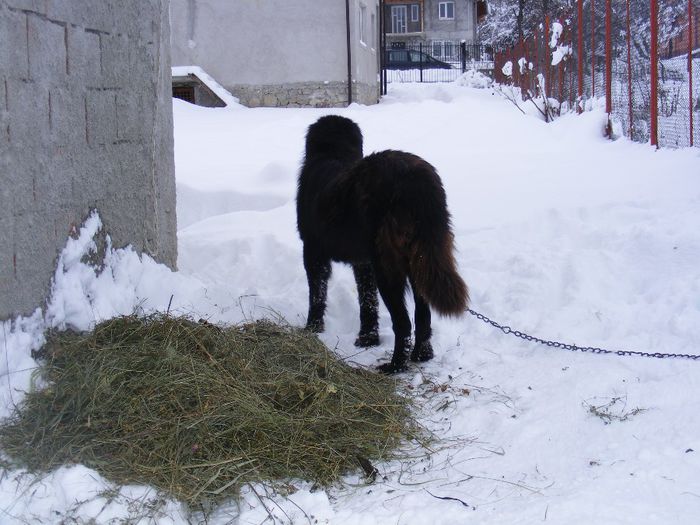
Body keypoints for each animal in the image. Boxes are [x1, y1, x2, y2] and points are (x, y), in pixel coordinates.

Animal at [296, 115, 470, 372]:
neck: (333, 154)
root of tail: (416, 181)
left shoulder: (313, 252)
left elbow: (317, 294)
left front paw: (312, 328)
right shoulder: (363, 262)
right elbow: (368, 300)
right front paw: (368, 338)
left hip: (387, 266)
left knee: (403, 323)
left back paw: (395, 366)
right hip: (419, 260)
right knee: (422, 315)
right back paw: (422, 354)